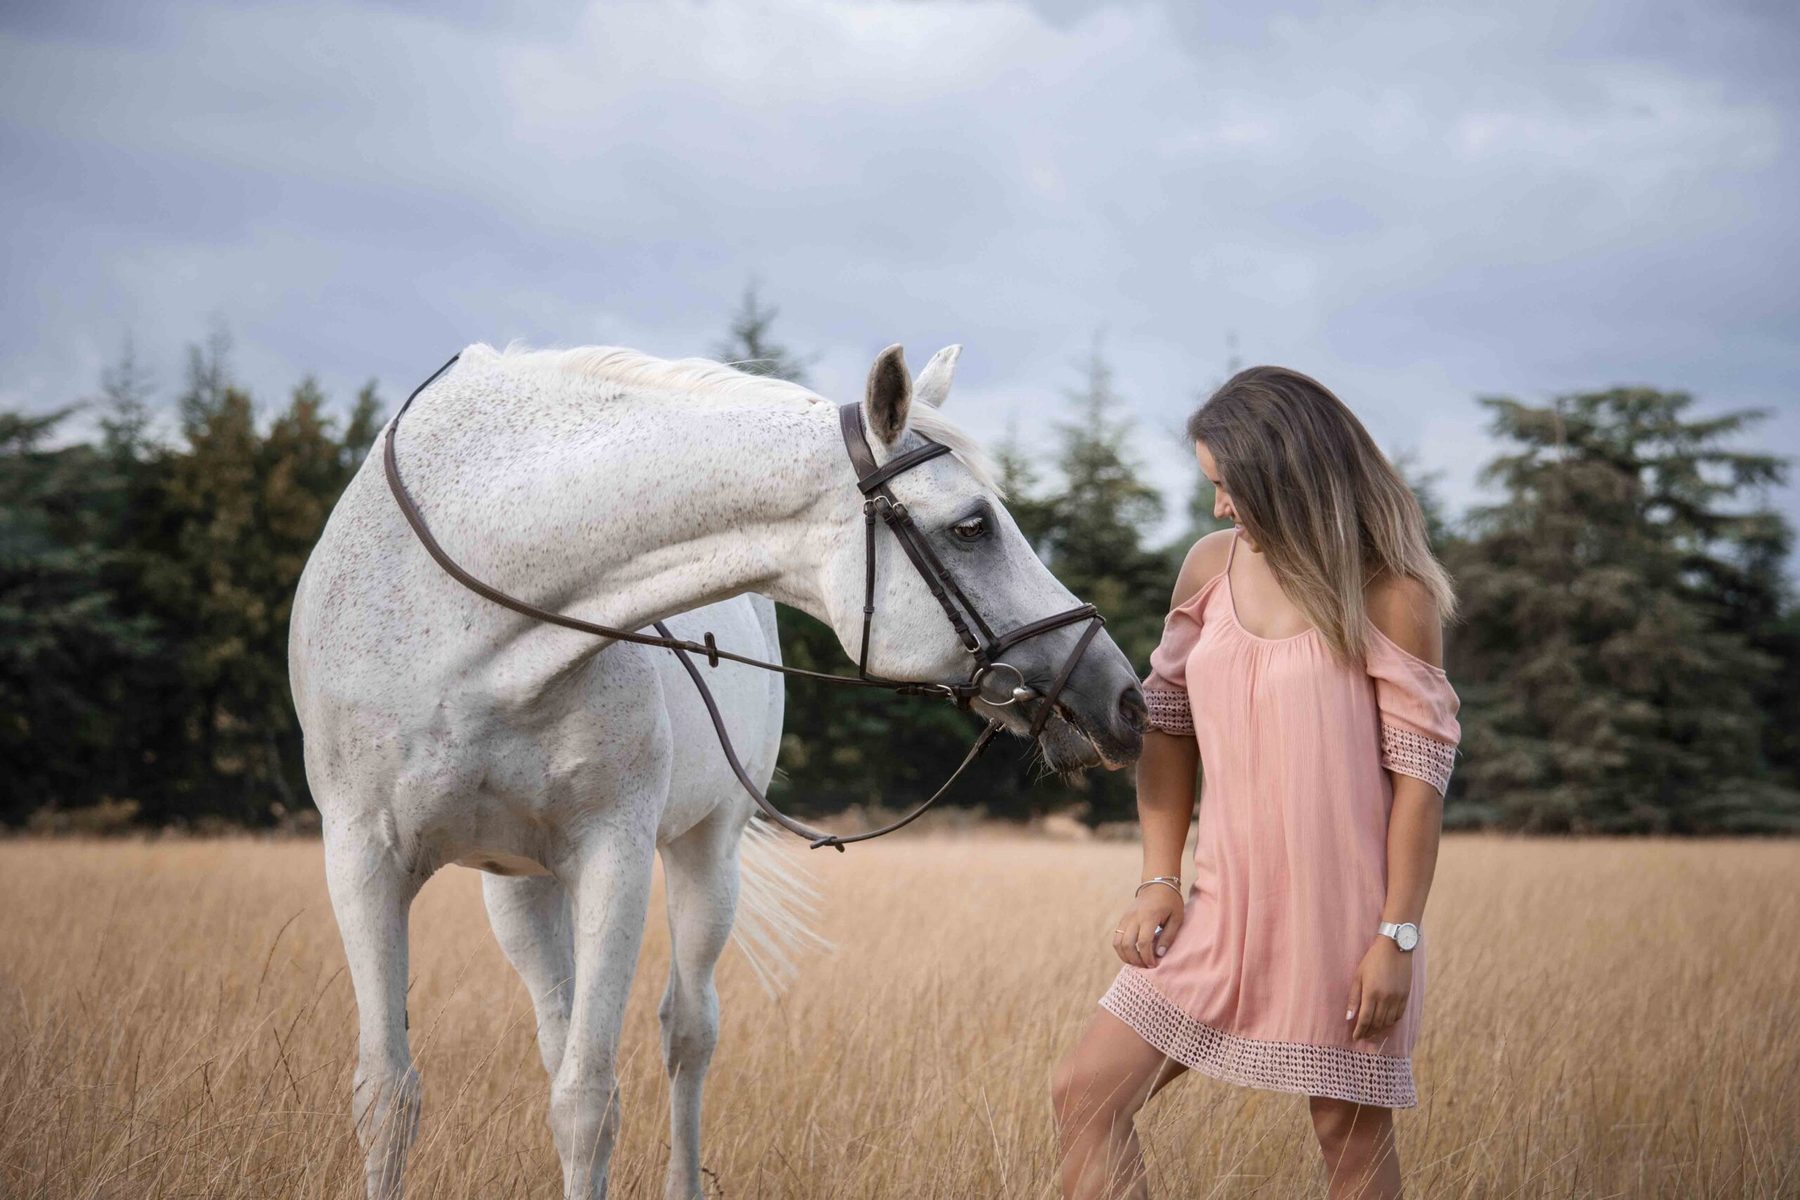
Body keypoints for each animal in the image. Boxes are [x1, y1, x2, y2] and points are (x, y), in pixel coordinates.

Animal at [288, 341, 1147, 1199]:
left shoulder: (614, 857)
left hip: (706, 853)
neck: (469, 610)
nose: (1122, 697)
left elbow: (587, 1103)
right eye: (973, 526)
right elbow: (389, 1096)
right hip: (518, 885)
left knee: (688, 1033)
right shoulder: (362, 861)